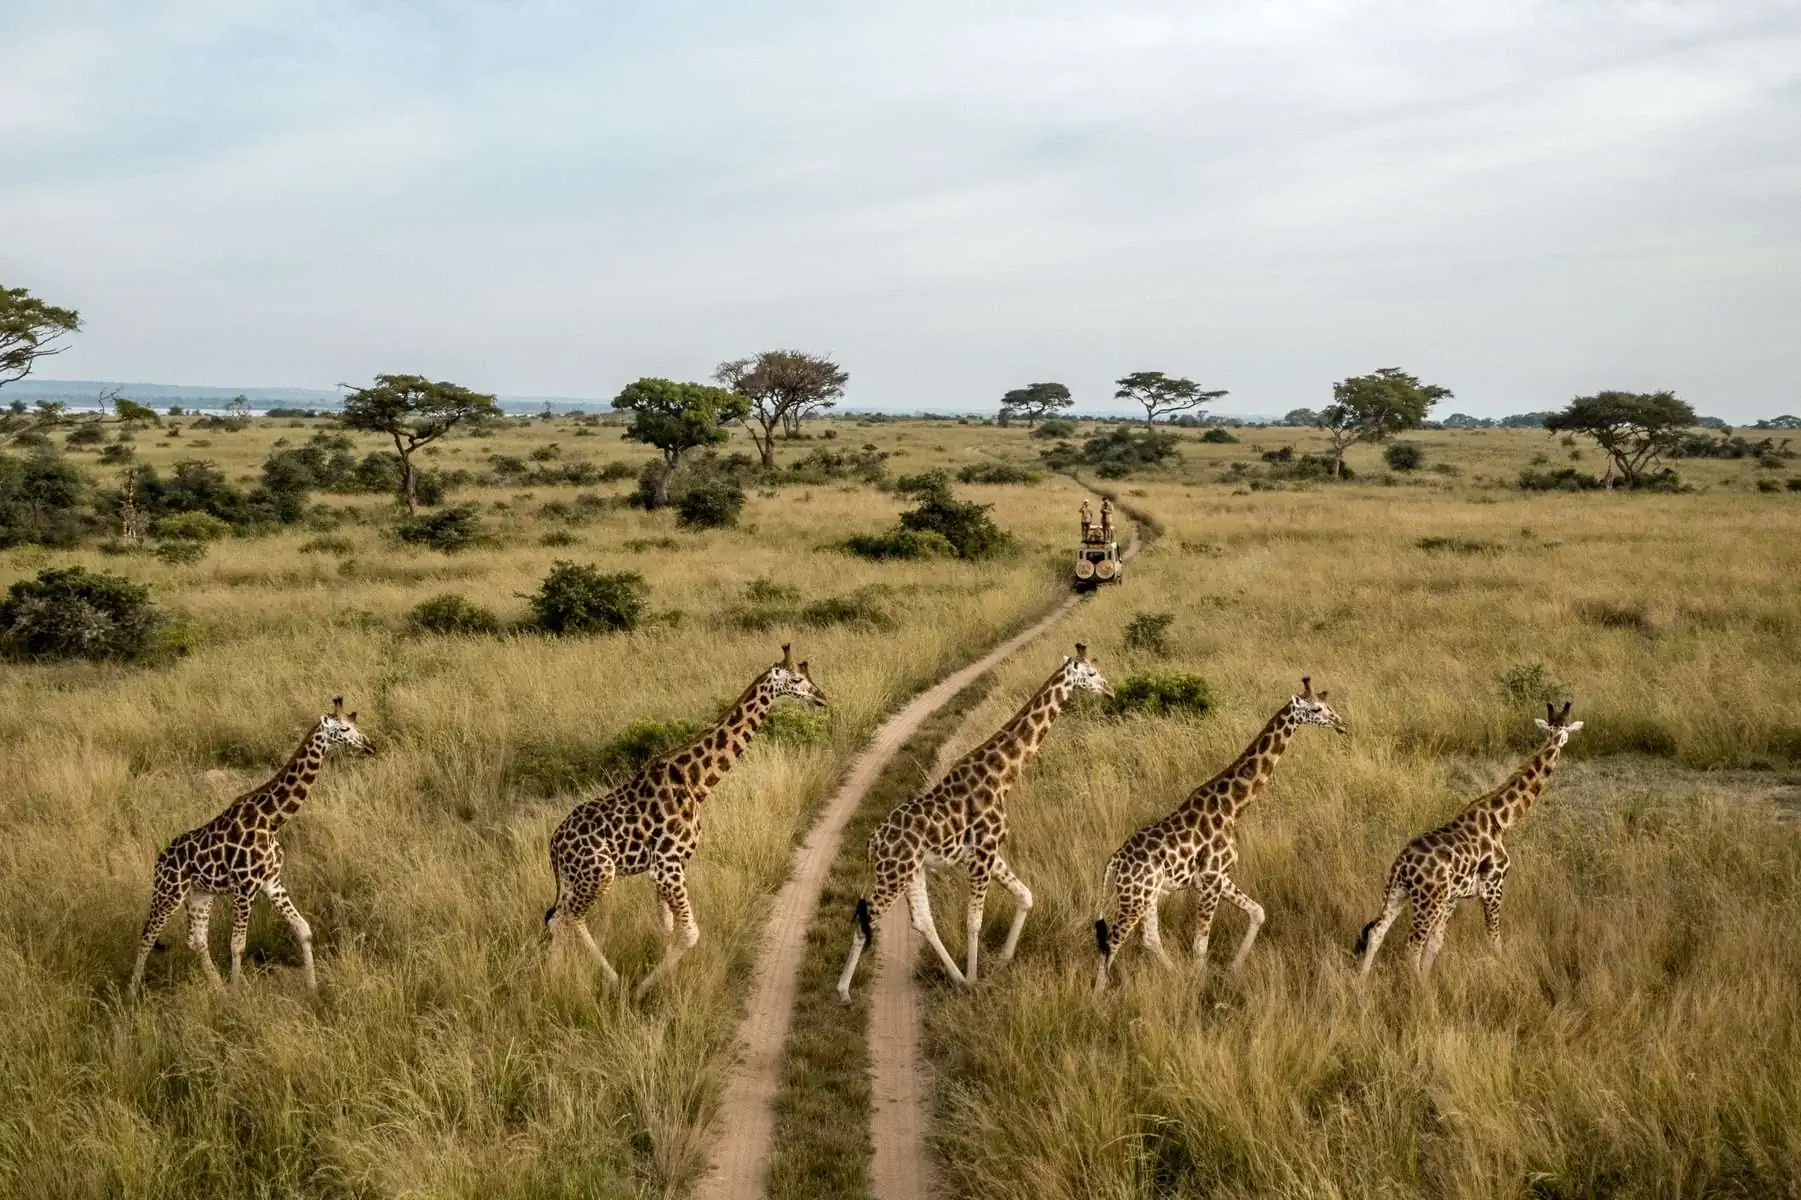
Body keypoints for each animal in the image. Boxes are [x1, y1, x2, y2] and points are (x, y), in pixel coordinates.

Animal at [128, 691, 374, 987]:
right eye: (344, 729)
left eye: (356, 723)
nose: (370, 746)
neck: (271, 820)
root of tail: (159, 860)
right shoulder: (244, 887)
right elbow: (237, 945)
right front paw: (238, 993)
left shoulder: (272, 882)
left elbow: (303, 929)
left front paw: (312, 986)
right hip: (169, 892)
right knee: (147, 935)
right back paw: (132, 992)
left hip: (200, 895)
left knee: (196, 940)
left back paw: (217, 989)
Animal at [547, 641, 828, 994]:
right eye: (797, 679)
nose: (823, 697)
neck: (697, 782)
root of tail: (553, 845)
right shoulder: (667, 865)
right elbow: (690, 932)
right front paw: (644, 989)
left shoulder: (665, 868)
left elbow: (668, 928)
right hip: (599, 874)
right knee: (566, 918)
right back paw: (585, 980)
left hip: (577, 878)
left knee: (559, 918)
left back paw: (570, 976)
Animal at [832, 641, 1109, 994]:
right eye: (1091, 673)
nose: (1111, 691)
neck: (1002, 775)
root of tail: (872, 844)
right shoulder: (981, 855)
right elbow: (974, 921)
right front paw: (978, 977)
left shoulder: (989, 851)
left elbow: (1025, 896)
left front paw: (1002, 959)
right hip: (892, 875)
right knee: (865, 922)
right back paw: (843, 990)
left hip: (911, 871)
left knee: (922, 920)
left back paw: (957, 977)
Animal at [1087, 677, 1347, 987]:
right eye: (1316, 708)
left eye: (1328, 705)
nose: (1341, 724)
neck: (1232, 806)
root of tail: (1114, 861)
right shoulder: (1210, 878)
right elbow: (1200, 944)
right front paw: (1201, 985)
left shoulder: (1219, 876)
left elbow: (1258, 912)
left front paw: (1232, 969)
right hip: (1134, 898)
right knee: (1112, 942)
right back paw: (1098, 994)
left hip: (1147, 895)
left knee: (1149, 938)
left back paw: (1174, 974)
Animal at [1354, 702, 1584, 972]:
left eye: (1561, 728)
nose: (1559, 743)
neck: (1502, 820)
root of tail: (1403, 865)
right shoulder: (1494, 886)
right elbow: (1494, 939)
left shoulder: (1453, 897)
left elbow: (1436, 943)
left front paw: (1426, 978)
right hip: (1427, 900)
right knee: (1411, 947)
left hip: (1398, 893)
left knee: (1377, 931)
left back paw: (1362, 980)